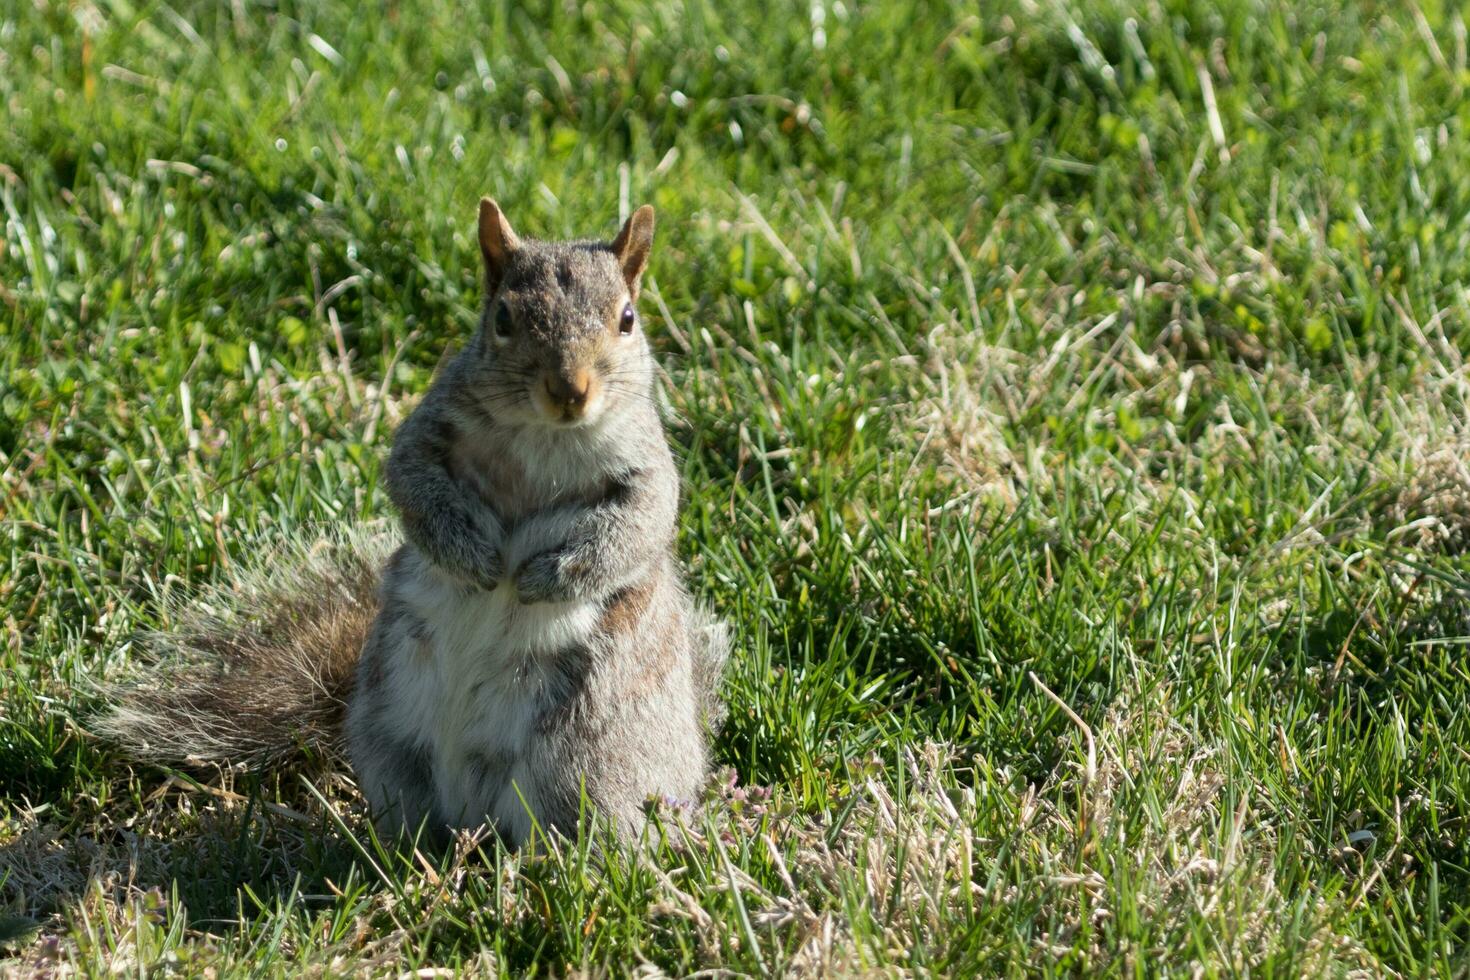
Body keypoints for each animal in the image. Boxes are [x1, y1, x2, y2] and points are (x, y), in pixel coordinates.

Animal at [97, 201, 729, 852]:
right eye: (502, 317)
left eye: (627, 319)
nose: (568, 390)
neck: (545, 435)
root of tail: (476, 813)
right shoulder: (428, 431)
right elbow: (411, 484)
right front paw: (470, 556)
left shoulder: (645, 467)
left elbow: (637, 526)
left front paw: (551, 576)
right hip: (391, 737)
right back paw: (402, 848)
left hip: (587, 757)